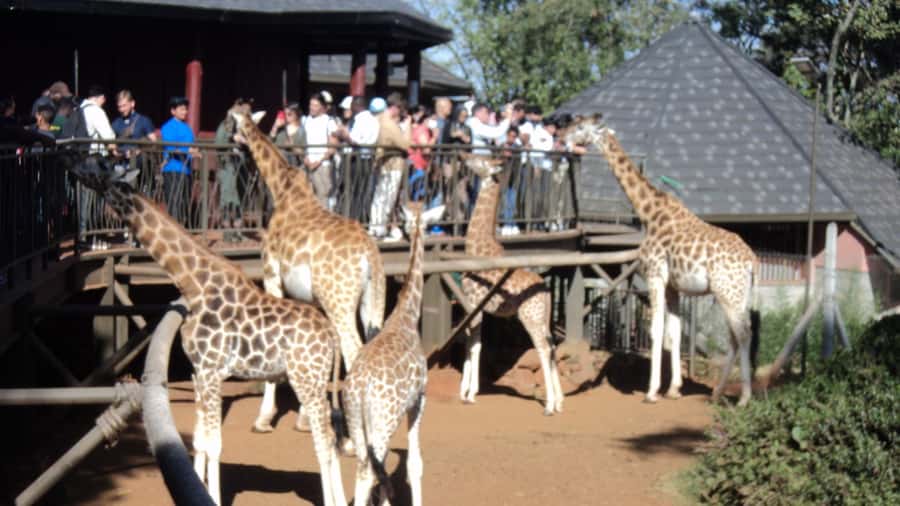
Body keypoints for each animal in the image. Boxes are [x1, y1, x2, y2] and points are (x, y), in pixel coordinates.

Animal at [70, 155, 347, 506]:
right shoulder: (198, 371)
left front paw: (212, 495)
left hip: (306, 378)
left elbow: (215, 444)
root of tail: (332, 335)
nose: (73, 166)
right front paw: (199, 485)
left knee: (323, 440)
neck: (193, 283)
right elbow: (200, 441)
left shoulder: (213, 370)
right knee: (331, 436)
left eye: (100, 164)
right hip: (315, 379)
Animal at [231, 112, 386, 433]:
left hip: (340, 301)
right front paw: (305, 417)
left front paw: (263, 419)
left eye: (232, 123)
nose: (234, 147)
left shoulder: (272, 277)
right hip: (368, 300)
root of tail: (370, 254)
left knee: (353, 349)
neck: (282, 189)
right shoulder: (309, 298)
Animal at [337, 202, 444, 506]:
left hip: (358, 421)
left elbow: (386, 472)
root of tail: (361, 389)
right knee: (367, 474)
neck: (406, 315)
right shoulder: (419, 399)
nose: (402, 233)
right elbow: (414, 464)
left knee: (365, 467)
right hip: (382, 422)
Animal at [458, 156, 564, 415]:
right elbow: (470, 342)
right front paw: (464, 390)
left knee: (543, 349)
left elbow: (475, 345)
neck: (476, 248)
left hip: (529, 316)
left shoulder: (474, 304)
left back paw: (548, 406)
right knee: (552, 347)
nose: (463, 157)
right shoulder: (474, 308)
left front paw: (470, 393)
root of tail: (546, 291)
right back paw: (559, 403)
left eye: (479, 159)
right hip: (543, 317)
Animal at [562, 115, 760, 405]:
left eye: (580, 126)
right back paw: (717, 393)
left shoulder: (655, 274)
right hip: (739, 294)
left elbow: (656, 330)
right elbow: (673, 334)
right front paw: (674, 389)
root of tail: (752, 261)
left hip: (727, 292)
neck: (649, 213)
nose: (562, 137)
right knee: (736, 337)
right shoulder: (674, 286)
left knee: (744, 335)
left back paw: (744, 398)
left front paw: (652, 391)